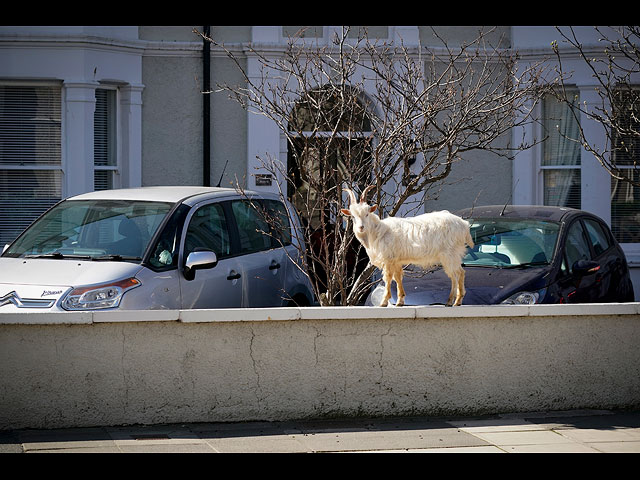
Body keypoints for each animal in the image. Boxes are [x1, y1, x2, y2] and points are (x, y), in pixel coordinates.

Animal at [342, 187, 472, 308]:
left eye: (367, 214)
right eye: (353, 217)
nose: (361, 227)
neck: (378, 231)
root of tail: (464, 225)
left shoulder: (388, 259)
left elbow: (388, 278)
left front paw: (384, 302)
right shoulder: (396, 260)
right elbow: (398, 277)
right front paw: (400, 301)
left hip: (449, 254)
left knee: (455, 275)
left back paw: (450, 301)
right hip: (454, 254)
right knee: (461, 272)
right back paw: (458, 301)